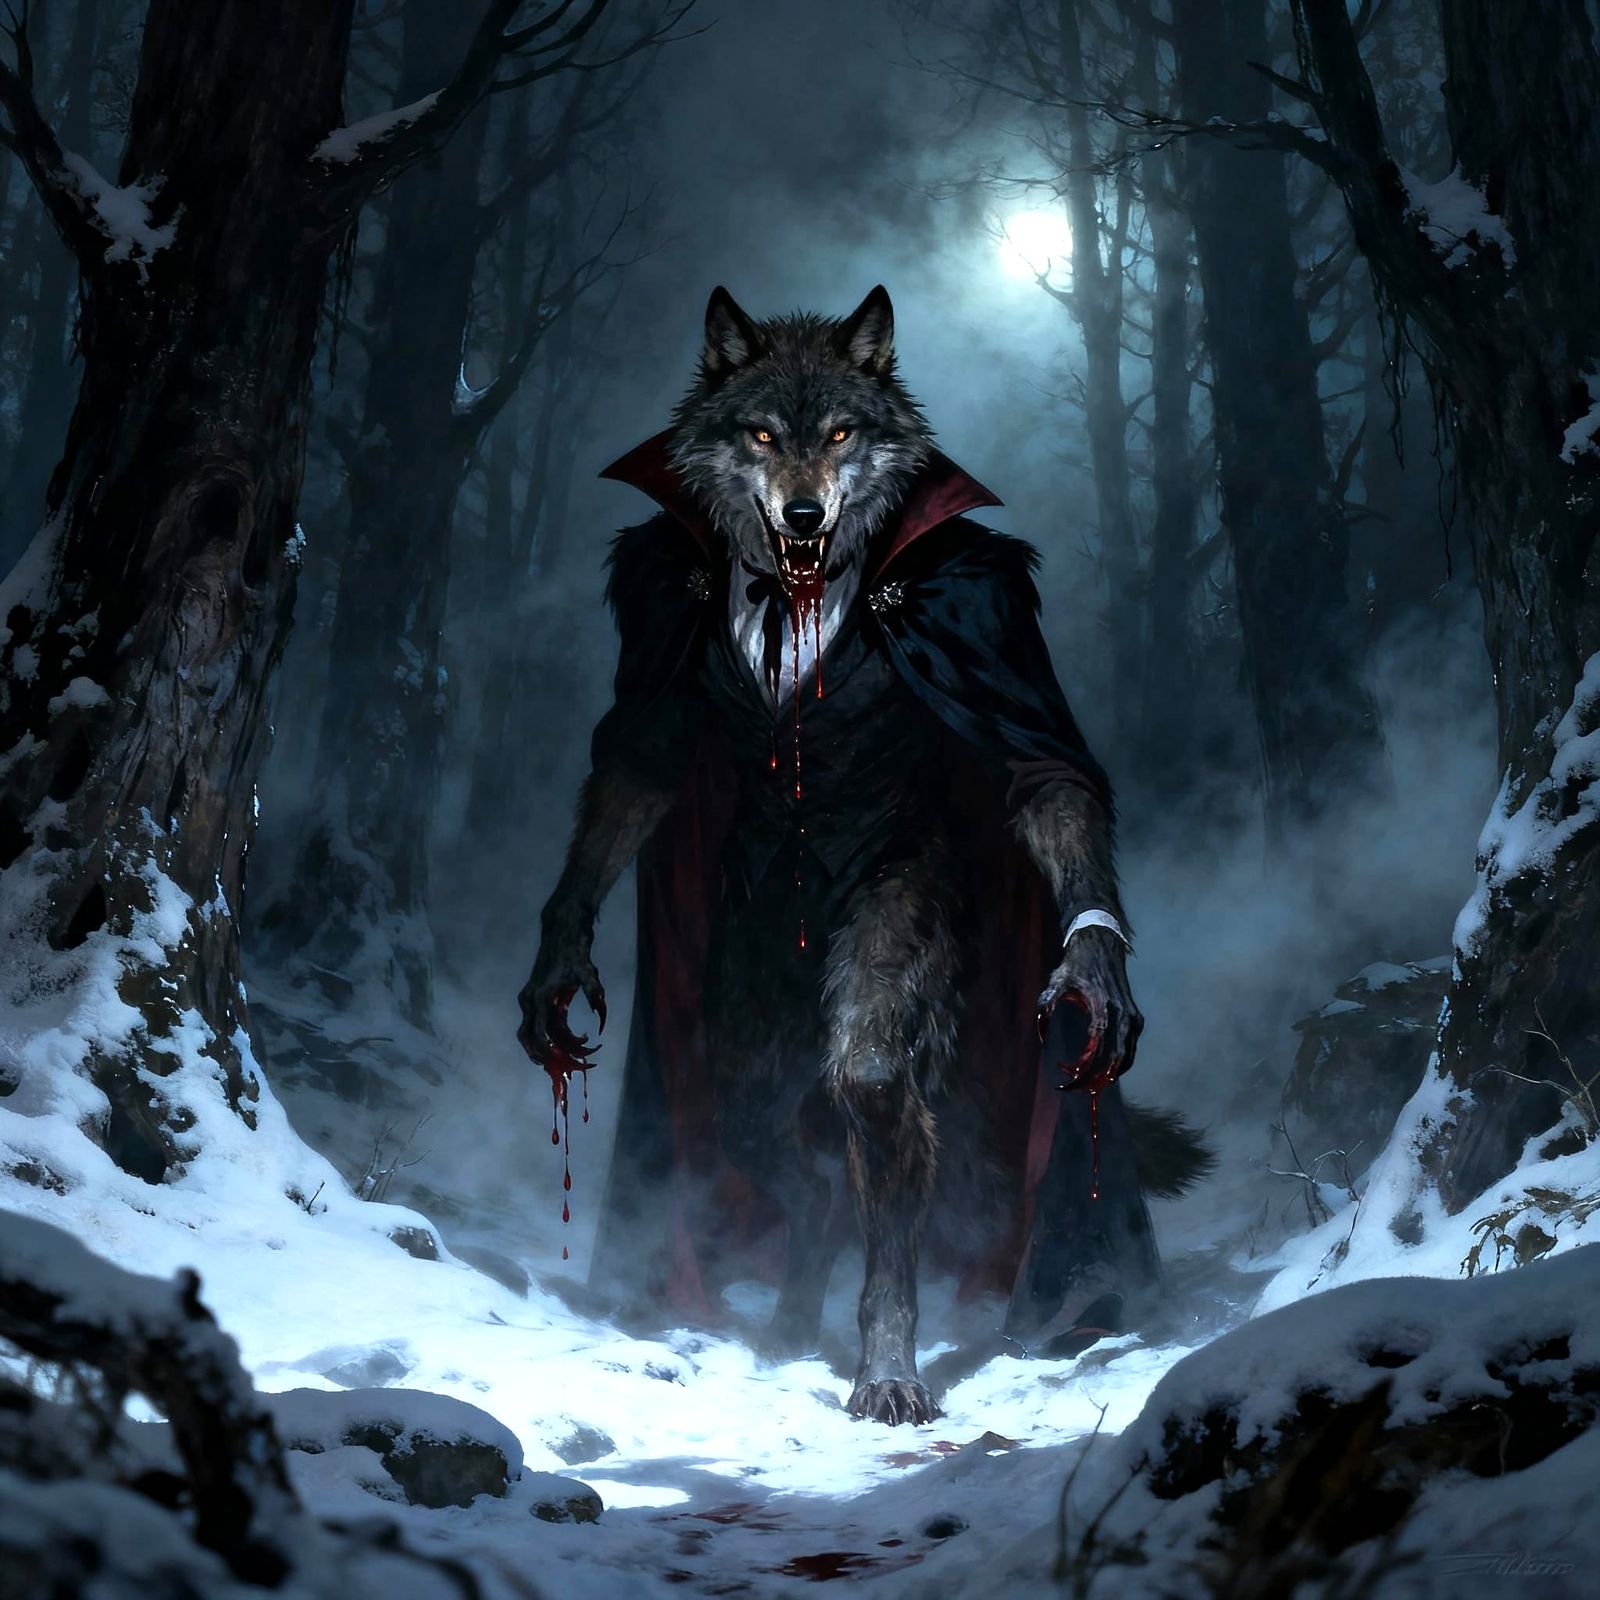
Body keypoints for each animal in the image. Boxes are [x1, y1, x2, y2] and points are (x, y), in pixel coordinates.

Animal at [520, 287, 1208, 1425]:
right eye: (762, 434)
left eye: (842, 433)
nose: (803, 514)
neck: (800, 588)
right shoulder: (662, 606)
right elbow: (638, 763)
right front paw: (559, 957)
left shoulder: (978, 614)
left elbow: (1045, 775)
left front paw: (889, 1367)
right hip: (741, 1036)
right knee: (781, 1151)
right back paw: (794, 1315)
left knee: (859, 1112)